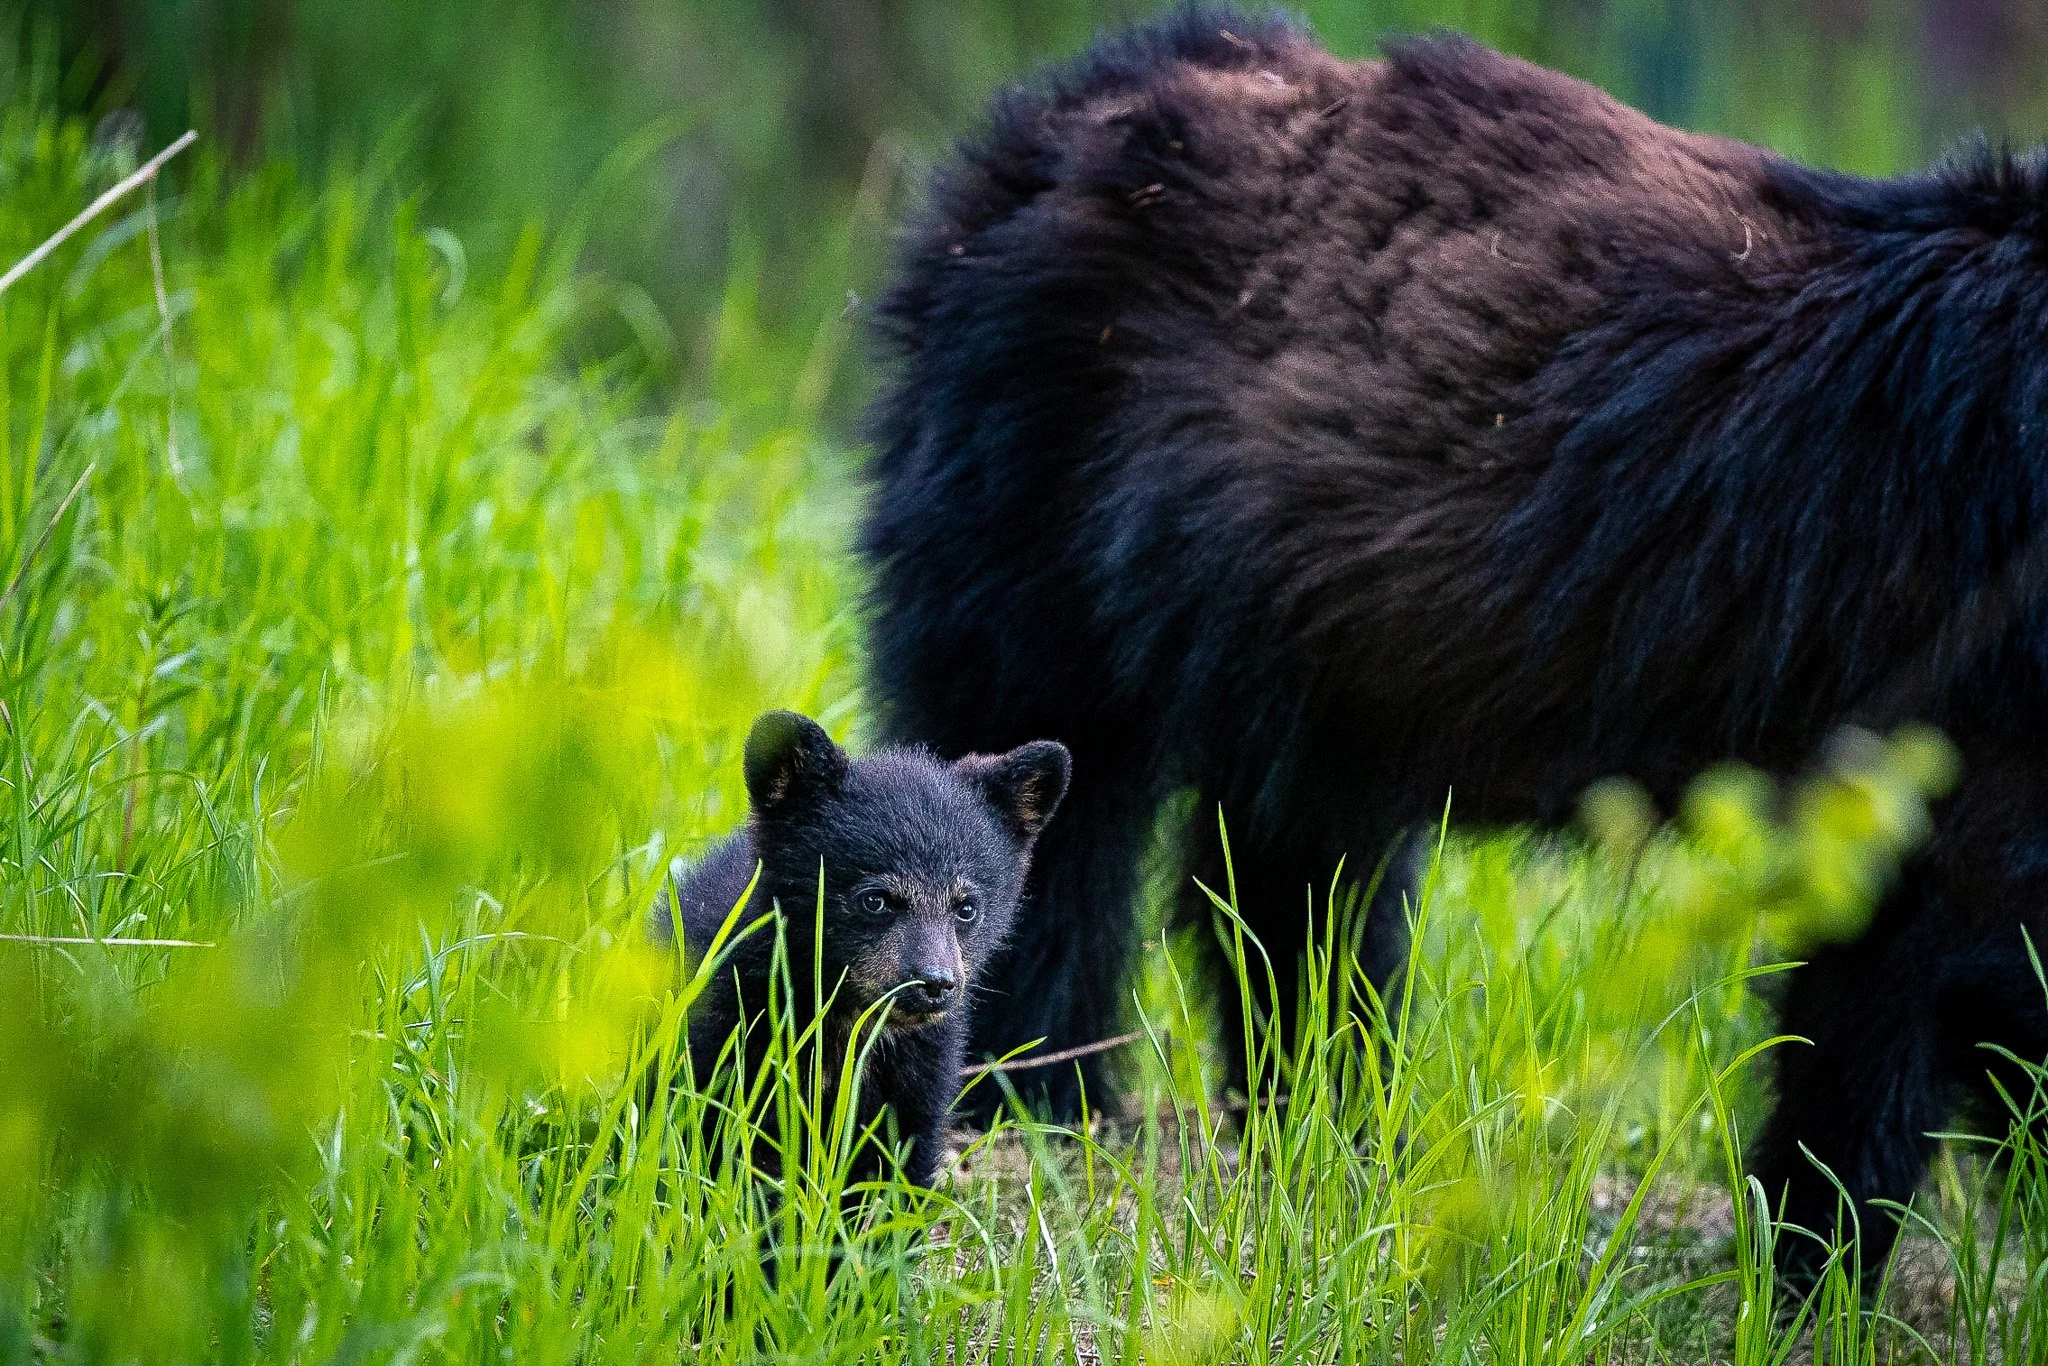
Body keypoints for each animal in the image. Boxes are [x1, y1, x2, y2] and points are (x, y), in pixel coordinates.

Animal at [650, 710, 1071, 1188]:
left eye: (966, 908)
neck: (847, 1021)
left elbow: (900, 1156)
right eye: (876, 900)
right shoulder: (725, 1021)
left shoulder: (921, 1068)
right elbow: (713, 1137)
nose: (934, 982)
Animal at [859, 5, 2048, 1279]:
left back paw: (1326, 1126)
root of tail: (1036, 124)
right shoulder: (1961, 692)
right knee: (1041, 802)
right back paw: (1036, 1110)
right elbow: (1919, 974)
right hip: (1038, 510)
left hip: (1297, 649)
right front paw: (1812, 1267)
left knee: (1301, 883)